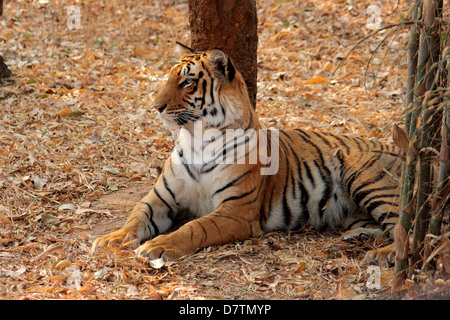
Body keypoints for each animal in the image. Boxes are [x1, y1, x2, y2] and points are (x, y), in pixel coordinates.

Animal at [91, 42, 400, 264]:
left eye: (187, 82)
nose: (155, 106)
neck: (197, 140)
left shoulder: (235, 211)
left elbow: (195, 228)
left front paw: (158, 245)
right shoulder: (160, 198)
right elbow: (136, 217)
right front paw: (111, 239)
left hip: (366, 178)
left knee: (403, 229)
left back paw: (382, 255)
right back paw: (357, 236)